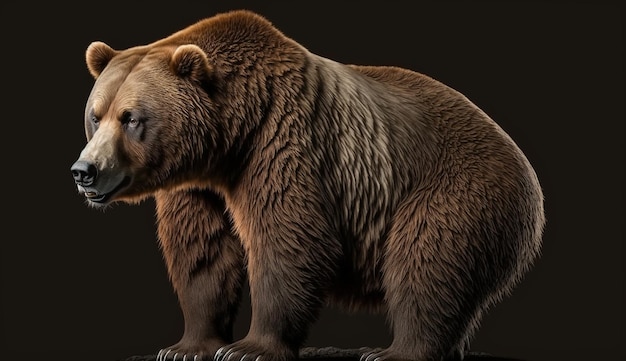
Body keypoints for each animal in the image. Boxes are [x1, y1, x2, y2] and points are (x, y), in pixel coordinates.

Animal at [70, 9, 540, 361]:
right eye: (96, 114)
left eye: (131, 117)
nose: (84, 170)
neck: (229, 138)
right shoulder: (197, 186)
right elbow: (203, 253)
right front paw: (187, 346)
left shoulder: (286, 144)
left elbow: (290, 240)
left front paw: (249, 348)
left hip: (455, 188)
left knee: (425, 259)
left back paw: (393, 351)